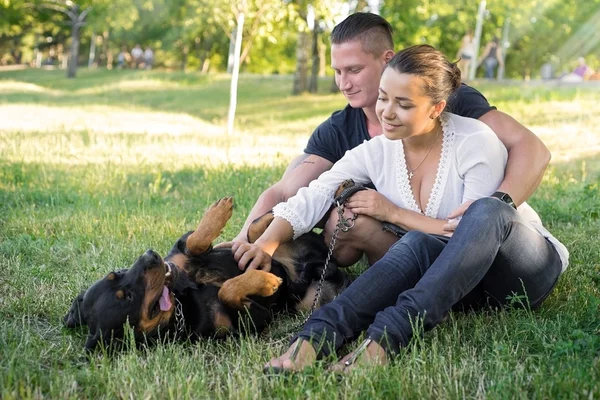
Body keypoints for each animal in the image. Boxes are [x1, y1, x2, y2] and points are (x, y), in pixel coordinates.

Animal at [63, 198, 350, 352]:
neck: (181, 300)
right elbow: (227, 290)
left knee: (261, 226)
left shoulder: (182, 254)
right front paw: (266, 281)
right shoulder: (251, 320)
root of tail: (318, 264)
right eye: (128, 297)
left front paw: (217, 213)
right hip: (305, 301)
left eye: (116, 273)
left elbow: (194, 241)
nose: (151, 256)